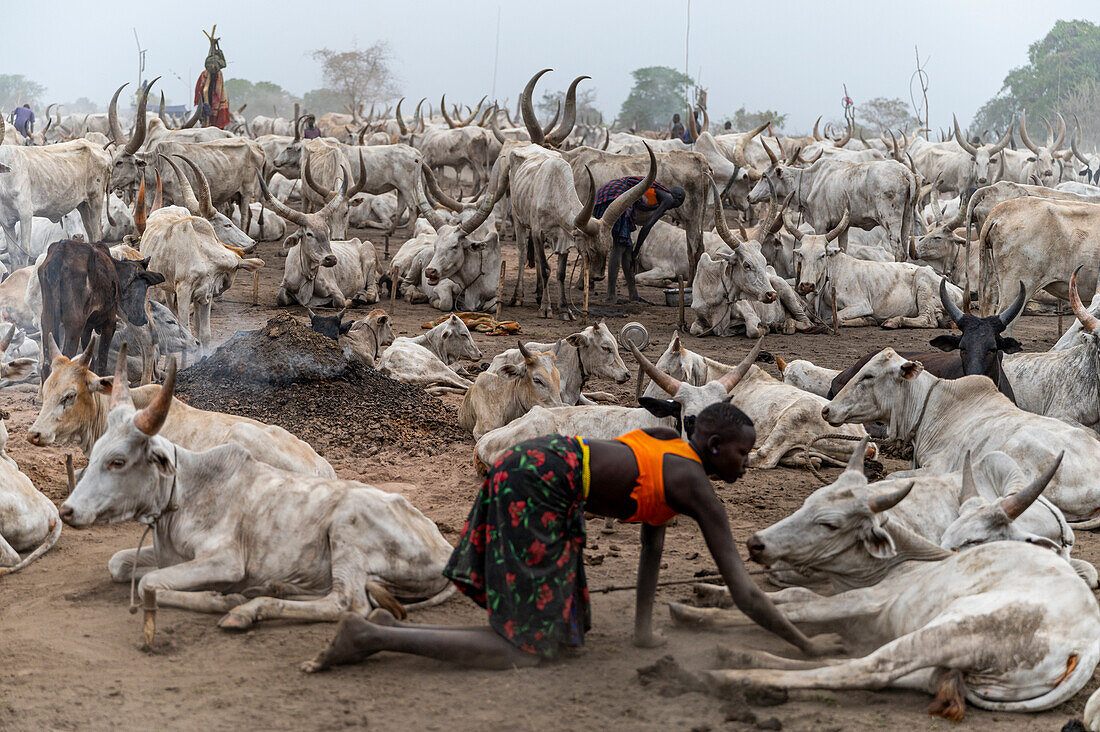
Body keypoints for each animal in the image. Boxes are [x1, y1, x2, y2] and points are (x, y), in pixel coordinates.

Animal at [668, 440, 1100, 717]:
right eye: (807, 503)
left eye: (830, 524)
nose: (757, 544)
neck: (898, 562)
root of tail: (1084, 648)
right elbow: (791, 598)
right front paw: (708, 591)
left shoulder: (862, 600)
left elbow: (800, 607)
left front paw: (701, 613)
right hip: (938, 669)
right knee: (860, 667)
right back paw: (743, 658)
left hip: (952, 631)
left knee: (865, 669)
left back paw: (737, 675)